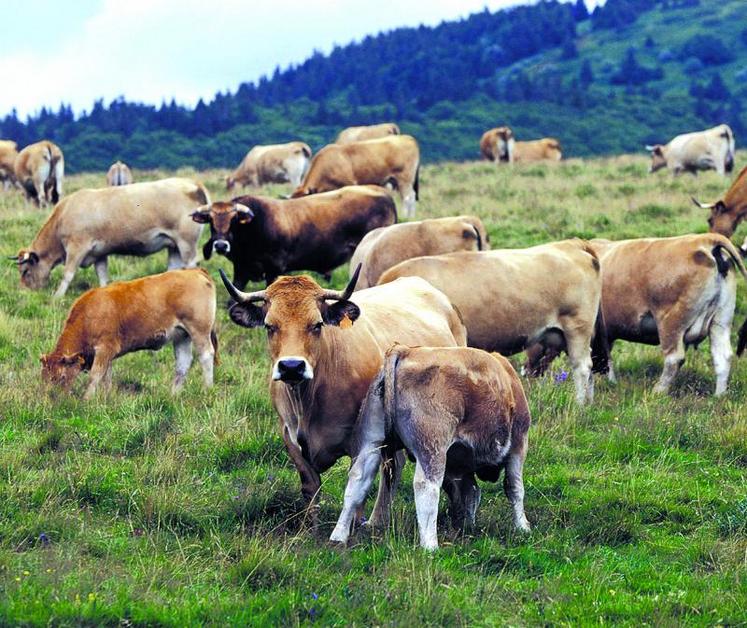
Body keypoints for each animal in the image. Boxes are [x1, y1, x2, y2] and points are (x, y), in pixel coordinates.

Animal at [41, 268, 218, 398]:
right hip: (182, 336)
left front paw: (86, 399)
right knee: (183, 364)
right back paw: (173, 395)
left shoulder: (104, 349)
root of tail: (195, 271)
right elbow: (106, 378)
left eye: (61, 377)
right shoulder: (107, 355)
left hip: (199, 331)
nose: (50, 396)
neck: (88, 315)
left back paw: (207, 389)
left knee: (206, 355)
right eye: (44, 376)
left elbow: (95, 376)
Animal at [193, 184, 398, 288]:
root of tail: (383, 193)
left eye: (234, 219)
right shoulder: (241, 270)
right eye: (210, 220)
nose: (220, 245)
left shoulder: (274, 269)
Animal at [292, 135, 420, 218]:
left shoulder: (349, 184)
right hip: (395, 180)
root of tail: (408, 138)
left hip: (404, 179)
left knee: (408, 197)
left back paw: (407, 217)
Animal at [328, 344, 532, 548]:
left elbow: (471, 492)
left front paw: (467, 524)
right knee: (426, 487)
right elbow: (514, 488)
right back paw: (431, 546)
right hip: (432, 449)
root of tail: (406, 350)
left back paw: (338, 537)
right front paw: (523, 527)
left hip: (371, 443)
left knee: (357, 481)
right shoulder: (519, 444)